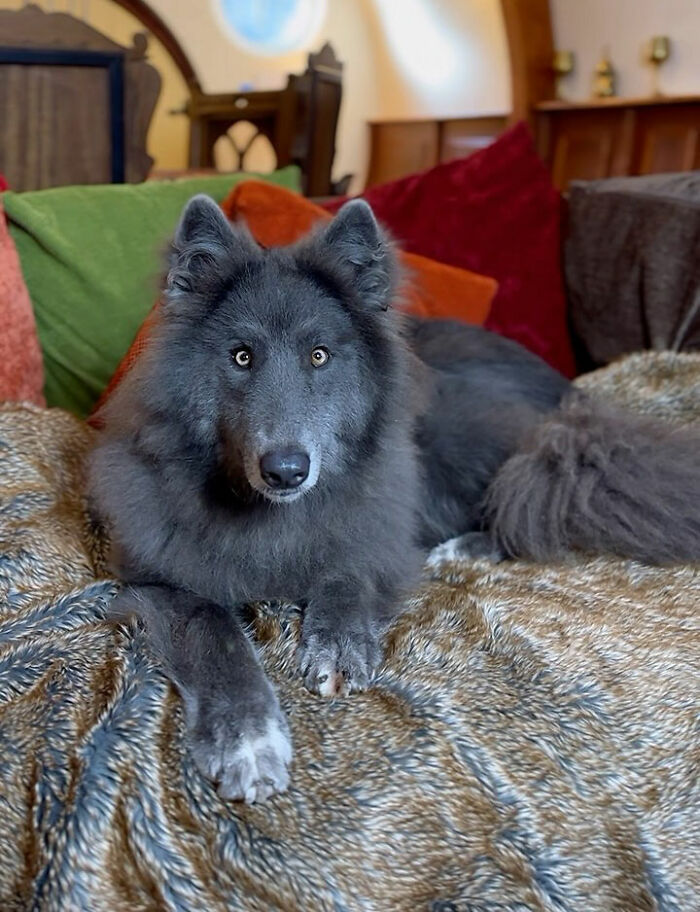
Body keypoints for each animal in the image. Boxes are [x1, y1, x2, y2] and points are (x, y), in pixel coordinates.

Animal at [88, 195, 700, 803]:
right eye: (241, 357)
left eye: (319, 356)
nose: (287, 471)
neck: (268, 514)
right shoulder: (159, 581)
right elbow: (215, 637)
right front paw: (248, 740)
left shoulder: (375, 530)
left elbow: (347, 574)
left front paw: (337, 645)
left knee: (533, 502)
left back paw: (463, 548)